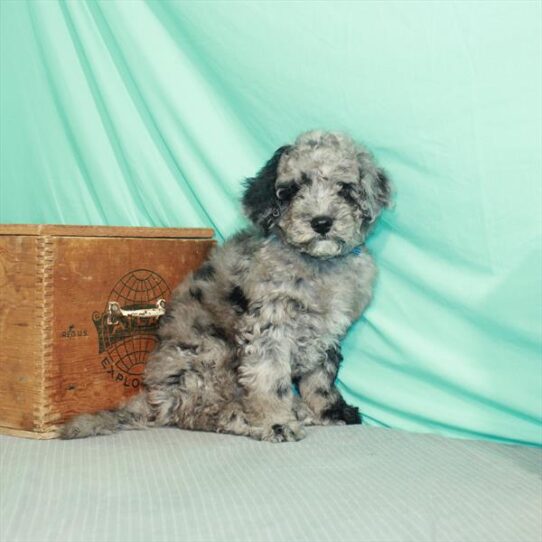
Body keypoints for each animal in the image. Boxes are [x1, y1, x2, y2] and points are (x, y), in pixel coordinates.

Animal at [61, 133, 394, 446]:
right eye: (293, 190)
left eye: (344, 188)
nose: (322, 223)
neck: (318, 264)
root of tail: (153, 398)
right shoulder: (269, 326)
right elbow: (270, 378)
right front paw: (275, 421)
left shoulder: (327, 332)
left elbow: (321, 378)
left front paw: (330, 411)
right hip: (209, 354)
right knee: (199, 411)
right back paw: (245, 417)